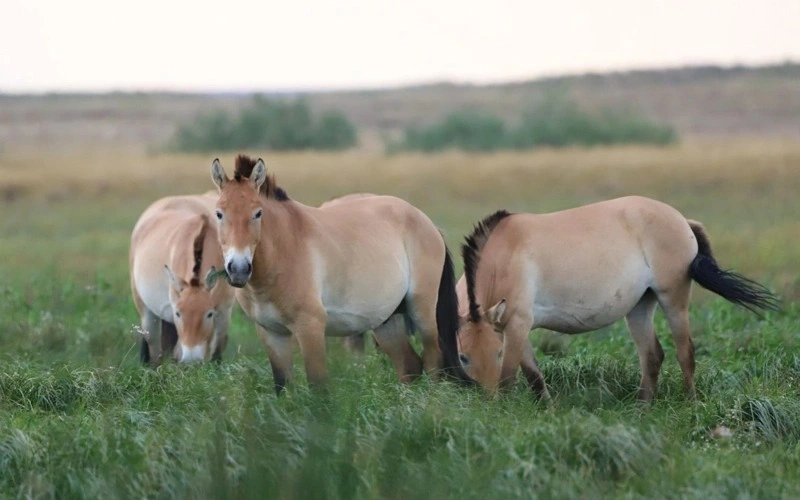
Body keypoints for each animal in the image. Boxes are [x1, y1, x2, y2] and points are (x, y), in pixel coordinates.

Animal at [130, 191, 236, 364]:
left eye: (209, 314)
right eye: (179, 313)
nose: (191, 359)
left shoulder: (223, 312)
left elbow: (216, 353)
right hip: (147, 315)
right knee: (155, 353)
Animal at [209, 155, 467, 394]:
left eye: (258, 213)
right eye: (219, 214)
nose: (239, 269)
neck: (284, 252)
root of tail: (427, 222)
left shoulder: (310, 328)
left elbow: (318, 387)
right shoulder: (272, 334)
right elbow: (282, 386)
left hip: (423, 312)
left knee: (434, 362)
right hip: (386, 320)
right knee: (409, 366)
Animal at [455, 196, 780, 402]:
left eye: (497, 353)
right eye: (463, 357)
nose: (487, 400)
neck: (502, 257)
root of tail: (682, 220)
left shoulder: (518, 325)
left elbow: (510, 378)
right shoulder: (512, 327)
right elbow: (534, 375)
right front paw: (547, 408)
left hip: (673, 299)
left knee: (684, 352)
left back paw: (691, 403)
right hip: (640, 306)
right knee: (652, 355)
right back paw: (642, 408)